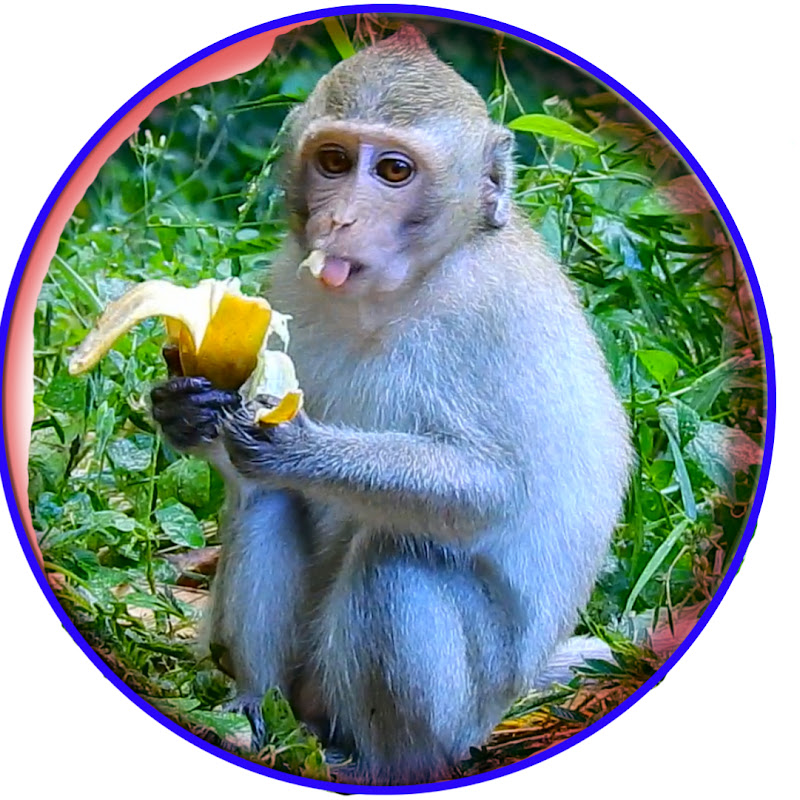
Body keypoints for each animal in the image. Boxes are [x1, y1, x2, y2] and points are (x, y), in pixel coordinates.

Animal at [150, 26, 633, 785]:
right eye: (334, 161)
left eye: (395, 171)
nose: (341, 218)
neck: (406, 286)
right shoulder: (288, 278)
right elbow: (247, 466)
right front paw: (186, 410)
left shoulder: (488, 316)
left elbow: (494, 489)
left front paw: (298, 447)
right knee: (268, 502)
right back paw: (253, 710)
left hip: (471, 707)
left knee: (397, 557)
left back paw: (378, 765)